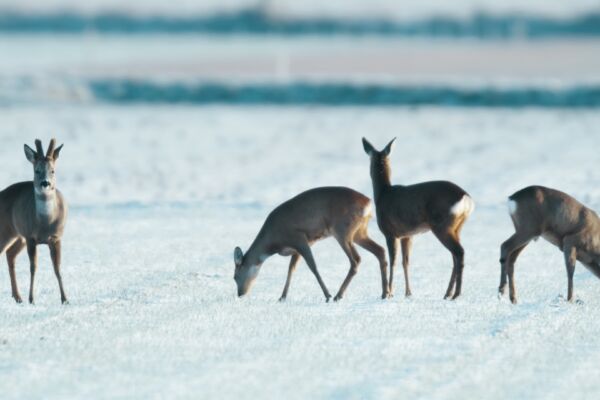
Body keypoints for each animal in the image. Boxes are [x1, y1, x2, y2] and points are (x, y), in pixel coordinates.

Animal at [1, 139, 68, 304]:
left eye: (53, 171)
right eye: (37, 171)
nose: (45, 183)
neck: (45, 223)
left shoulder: (56, 238)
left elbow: (57, 268)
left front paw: (65, 299)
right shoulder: (31, 237)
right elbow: (33, 267)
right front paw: (32, 299)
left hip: (18, 236)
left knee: (10, 255)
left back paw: (17, 297)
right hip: (5, 231)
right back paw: (19, 297)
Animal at [232, 186, 386, 302]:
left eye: (235, 276)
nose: (240, 294)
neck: (273, 242)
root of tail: (368, 203)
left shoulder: (299, 238)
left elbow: (313, 267)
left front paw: (327, 295)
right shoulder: (297, 248)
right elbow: (291, 269)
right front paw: (282, 297)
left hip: (342, 231)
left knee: (356, 260)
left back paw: (338, 295)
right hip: (359, 232)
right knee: (380, 250)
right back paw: (386, 293)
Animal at [360, 139, 474, 298]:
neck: (383, 194)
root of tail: (466, 198)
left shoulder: (390, 233)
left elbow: (393, 261)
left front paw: (389, 292)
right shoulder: (407, 235)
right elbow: (406, 262)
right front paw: (408, 292)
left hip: (442, 226)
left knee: (459, 252)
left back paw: (455, 294)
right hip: (457, 227)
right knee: (455, 256)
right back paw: (448, 293)